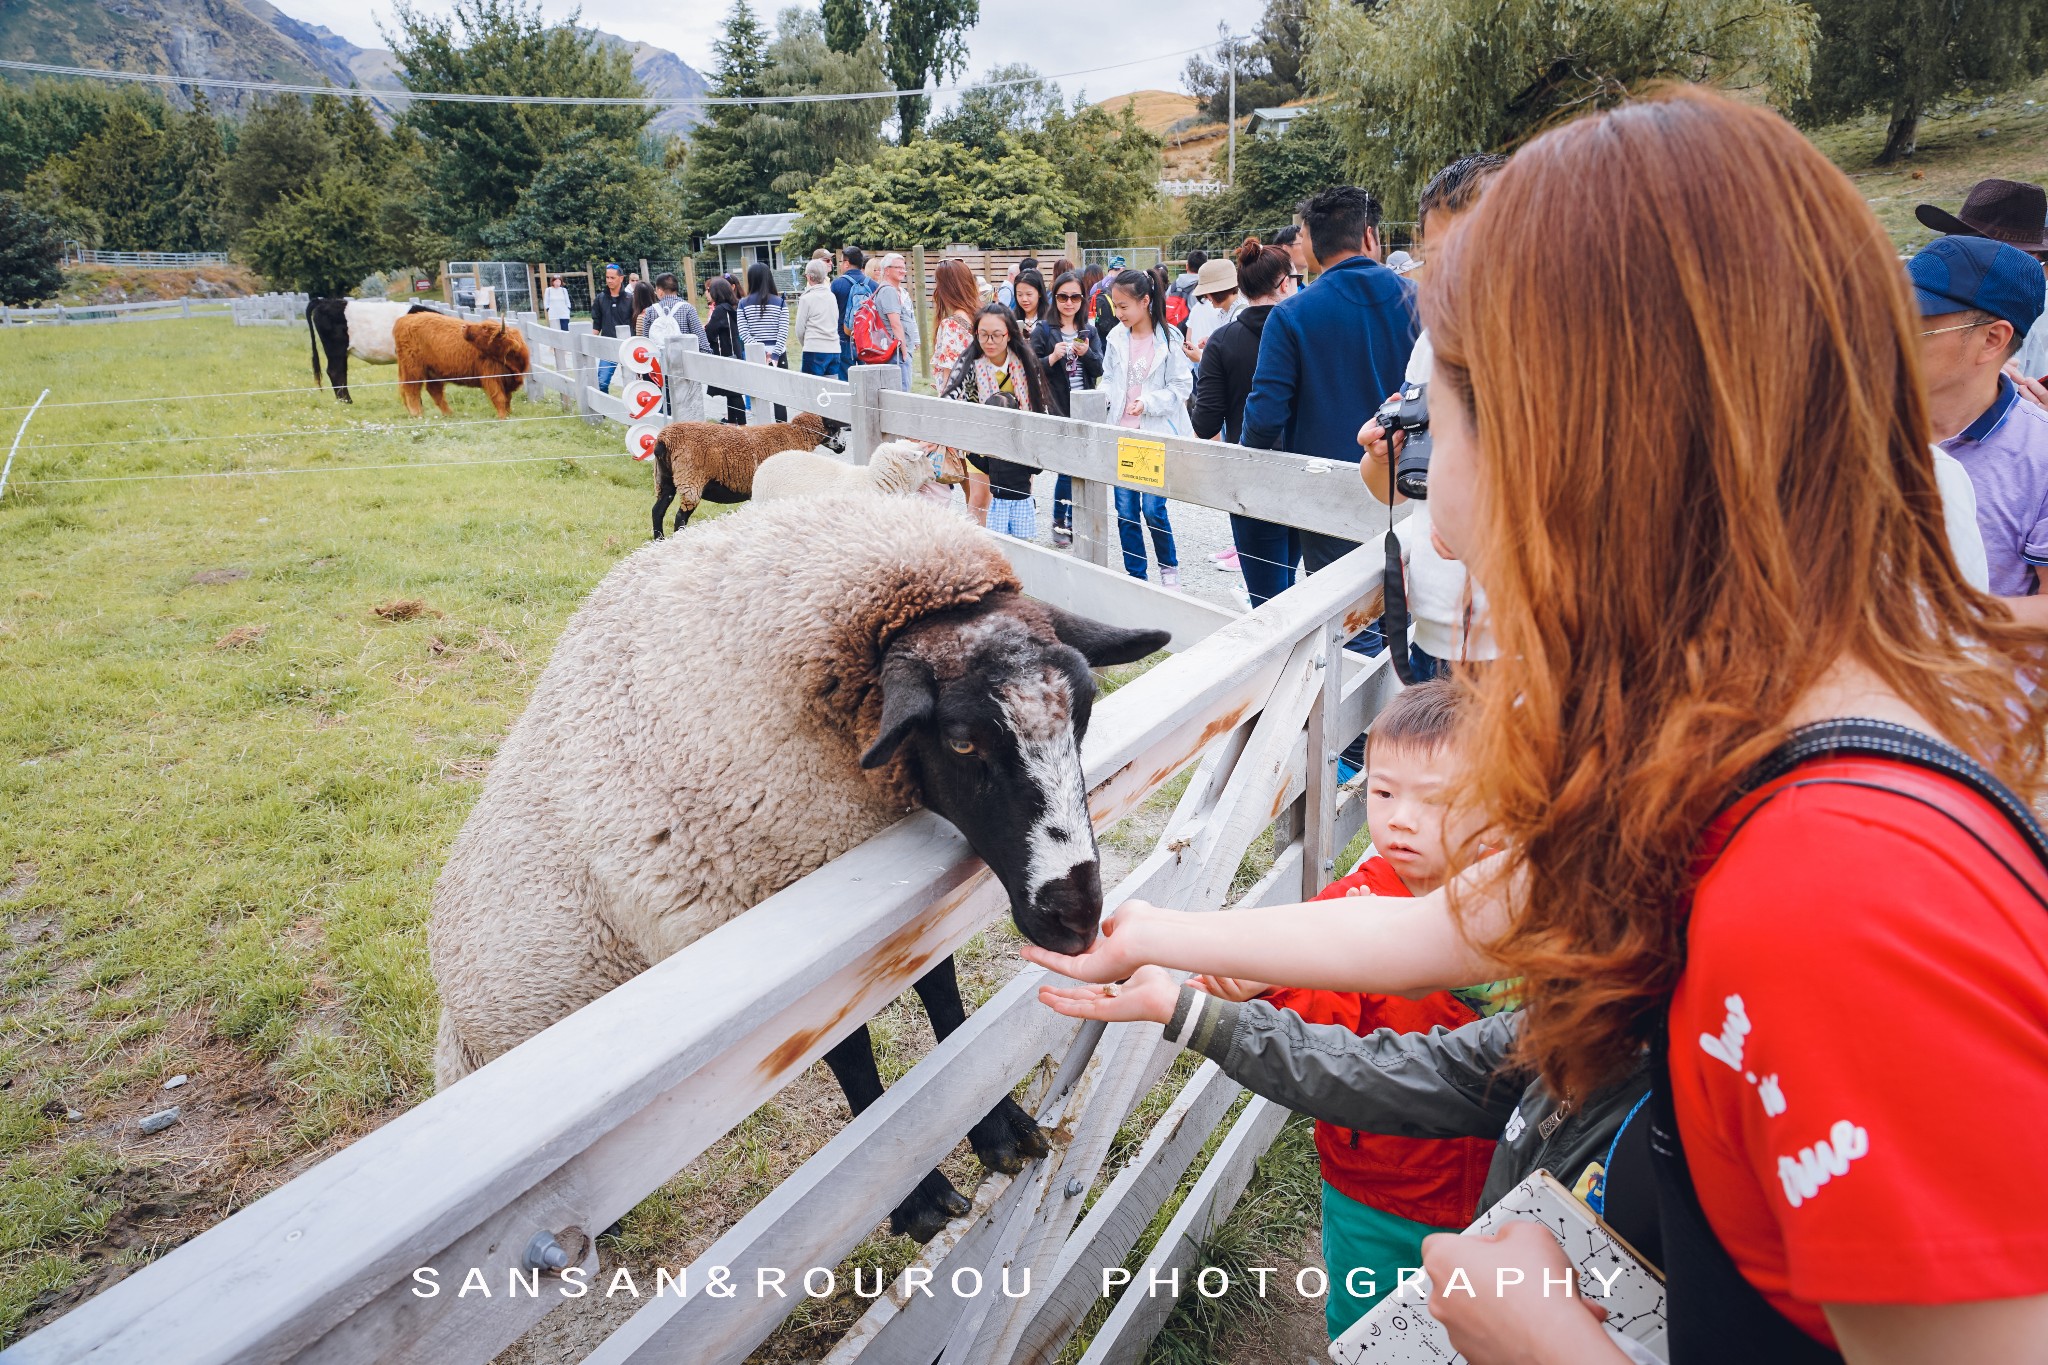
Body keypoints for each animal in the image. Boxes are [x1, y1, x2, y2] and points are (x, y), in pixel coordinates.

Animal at [391, 313, 532, 419]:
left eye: (485, 328)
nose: (464, 326)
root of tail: (404, 319)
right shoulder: (492, 378)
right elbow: (500, 398)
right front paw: (502, 417)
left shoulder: (508, 382)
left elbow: (508, 399)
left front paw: (509, 414)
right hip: (412, 368)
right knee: (411, 390)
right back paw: (418, 414)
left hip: (433, 371)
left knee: (434, 391)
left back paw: (449, 414)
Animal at [428, 497, 1171, 1244]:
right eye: (962, 741)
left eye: (1085, 709)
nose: (1076, 919)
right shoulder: (779, 916)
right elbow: (850, 1049)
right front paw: (918, 1195)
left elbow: (940, 987)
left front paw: (997, 1125)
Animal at [655, 411, 847, 540]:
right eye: (836, 428)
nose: (844, 447)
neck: (798, 434)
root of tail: (664, 440)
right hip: (690, 479)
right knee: (680, 518)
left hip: (664, 480)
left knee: (658, 510)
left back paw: (659, 541)